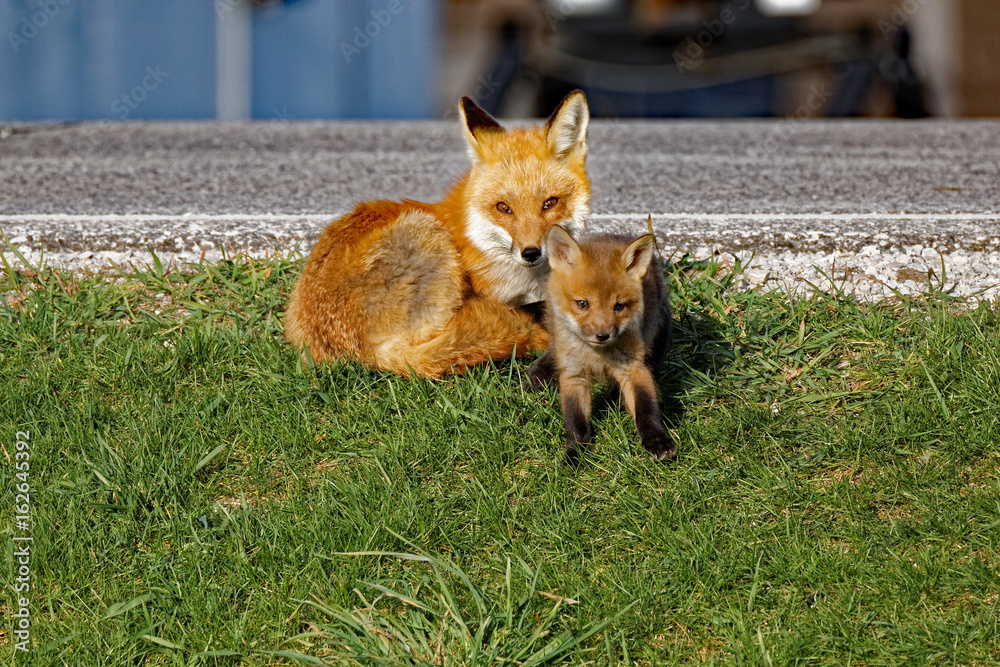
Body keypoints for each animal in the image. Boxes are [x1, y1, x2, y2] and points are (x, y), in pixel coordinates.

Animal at [527, 223, 675, 464]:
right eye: (582, 304)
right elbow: (575, 419)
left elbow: (646, 408)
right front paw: (576, 452)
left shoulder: (634, 368)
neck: (596, 356)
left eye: (619, 306)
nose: (602, 335)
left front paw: (657, 441)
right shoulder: (574, 375)